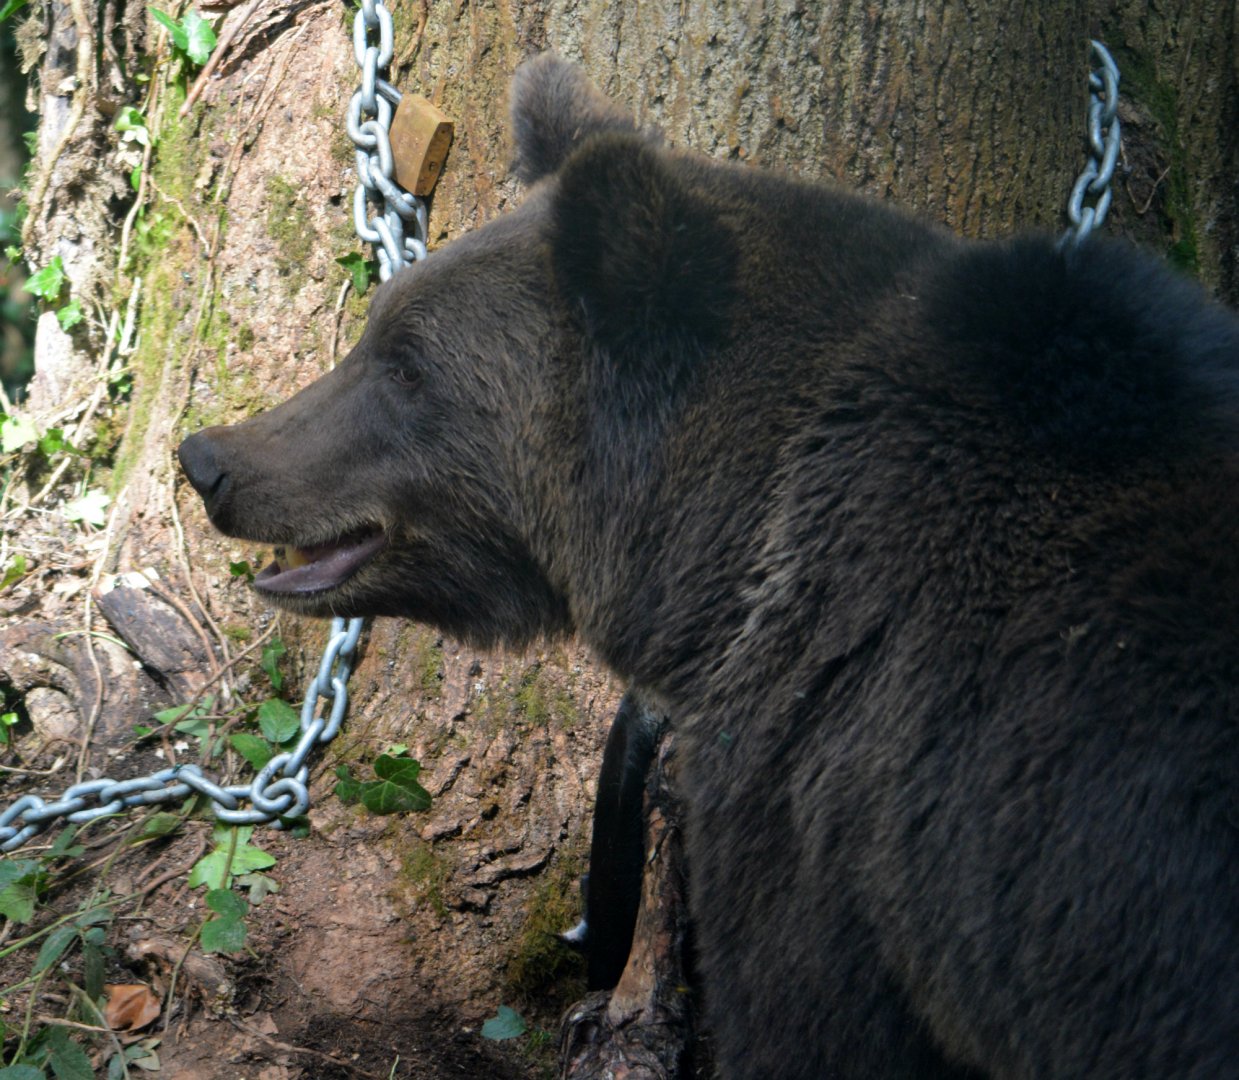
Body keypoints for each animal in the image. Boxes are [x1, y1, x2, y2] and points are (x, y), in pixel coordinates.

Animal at [178, 54, 1239, 1079]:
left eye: (405, 365)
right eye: (378, 330)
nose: (209, 459)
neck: (735, 531)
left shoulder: (824, 812)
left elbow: (804, 1016)